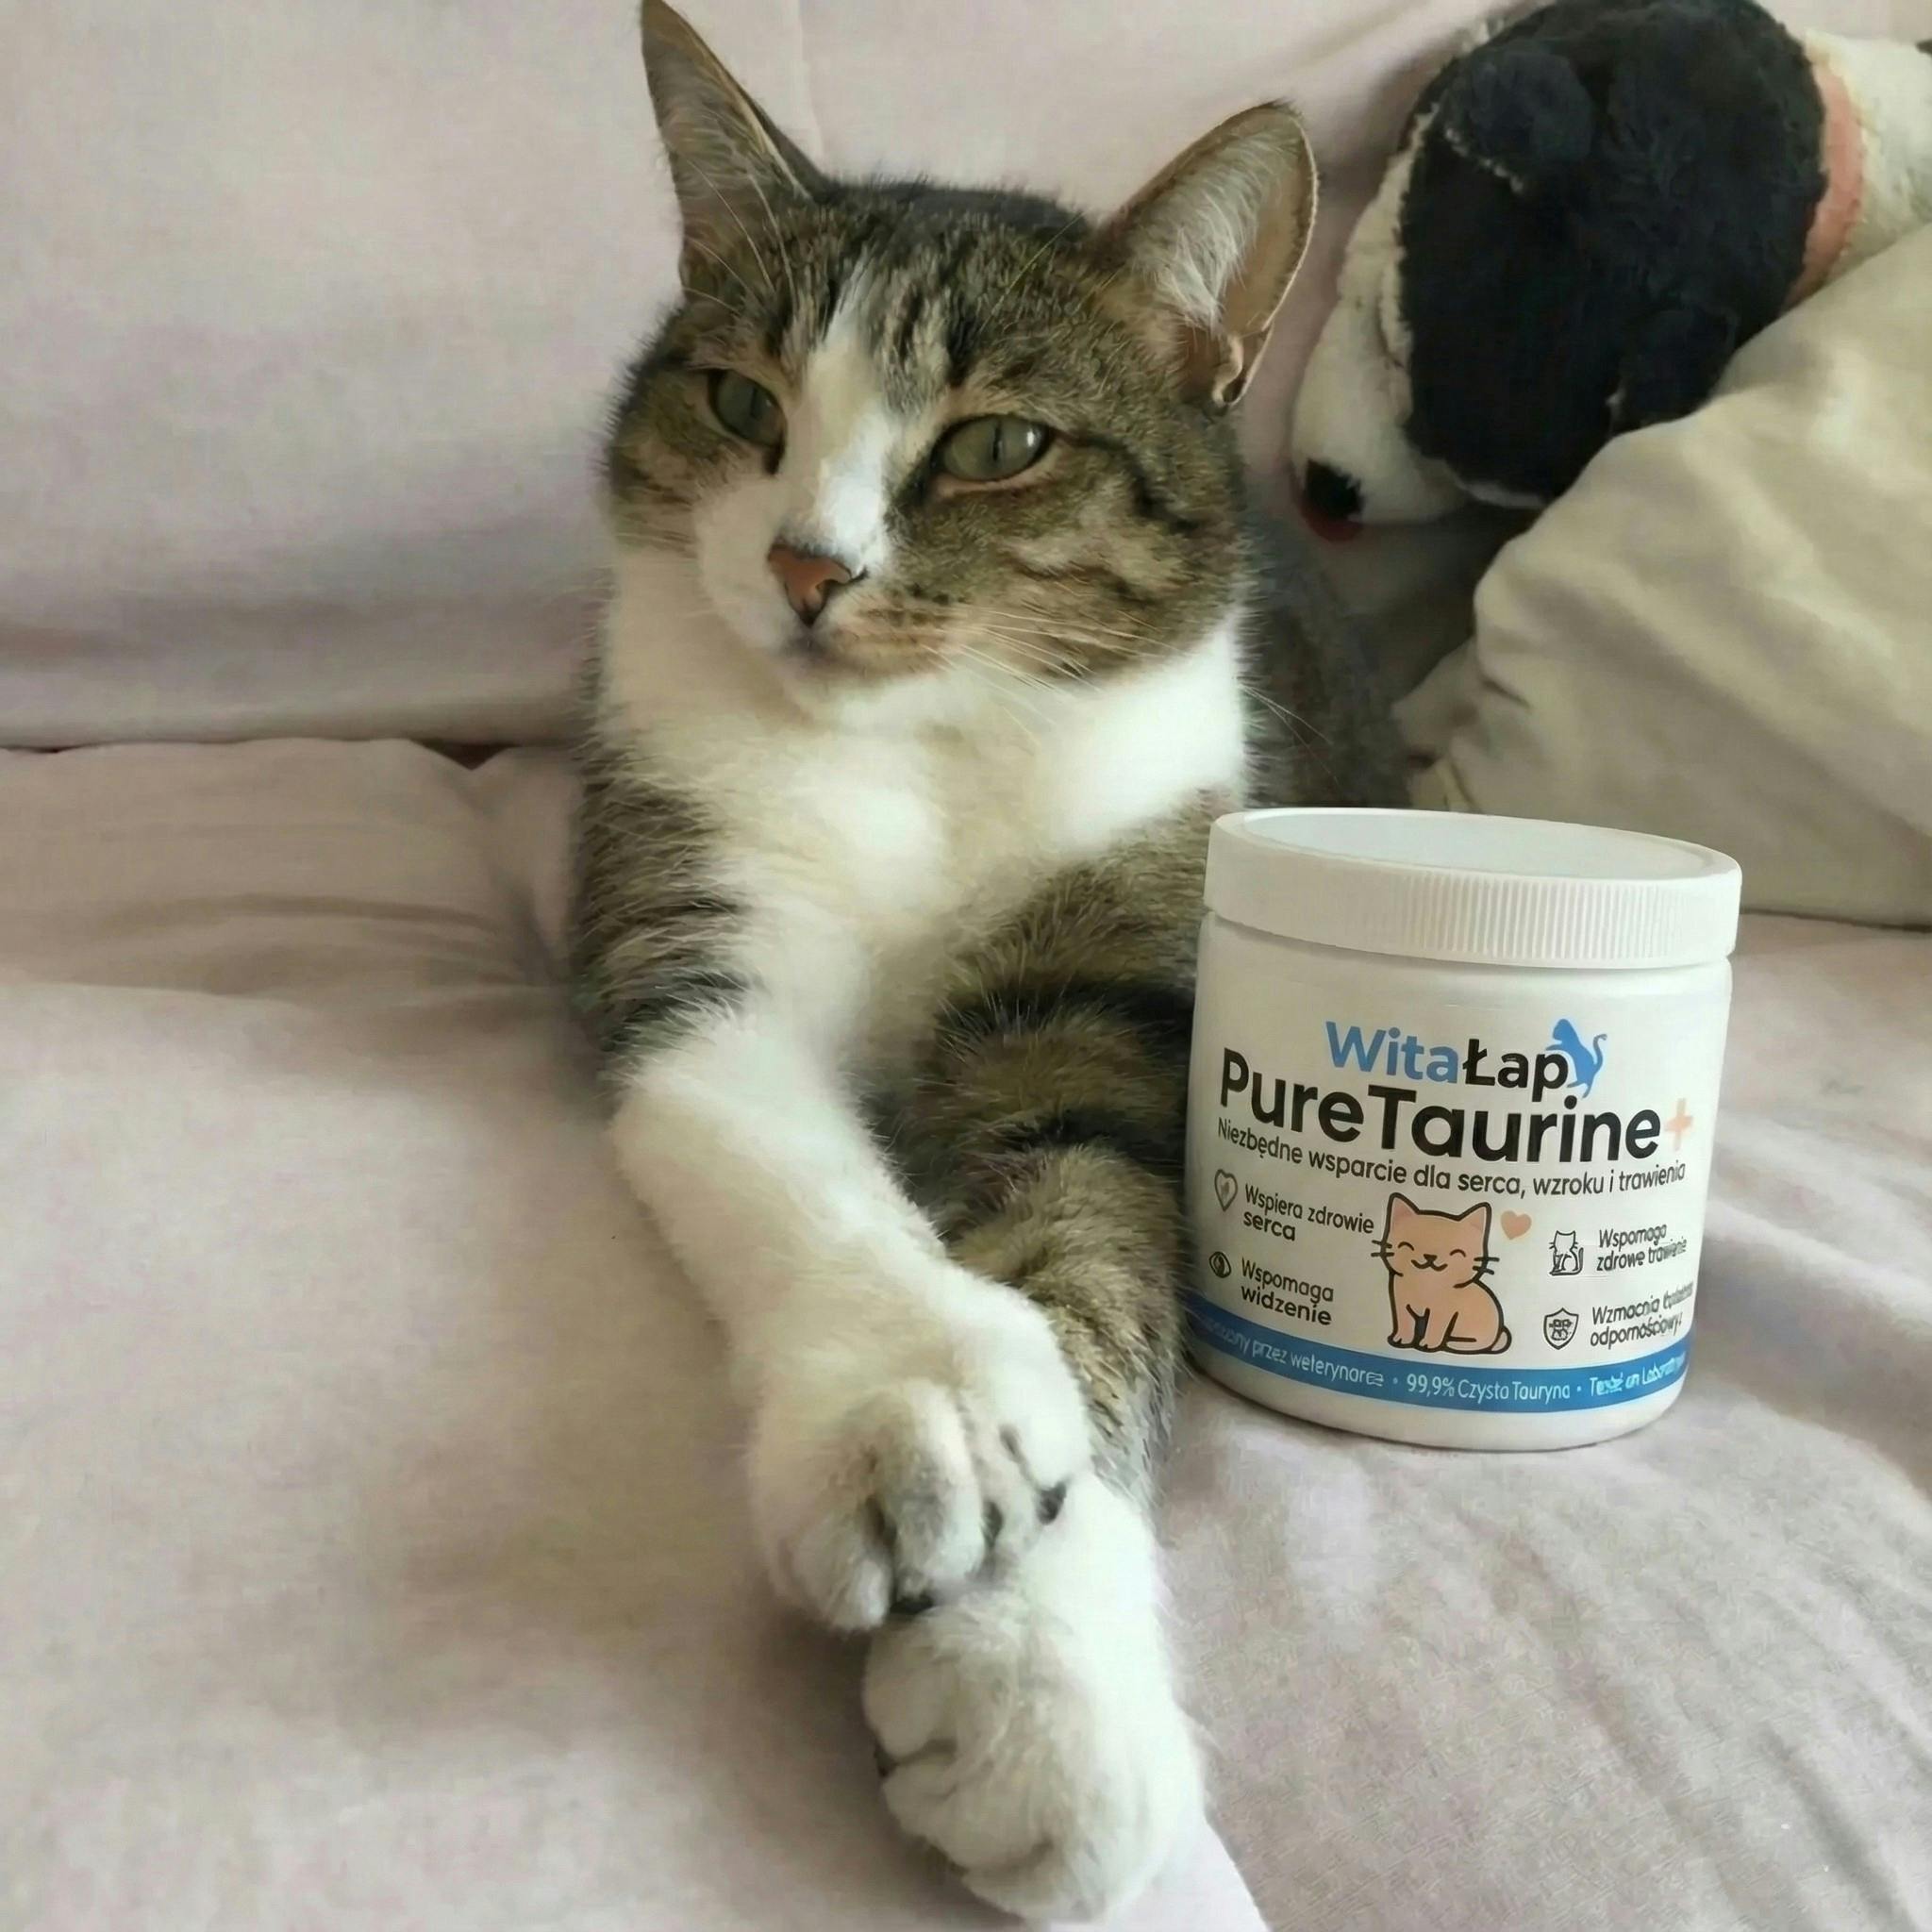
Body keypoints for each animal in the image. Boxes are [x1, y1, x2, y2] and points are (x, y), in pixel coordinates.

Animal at [569, 4, 1400, 1917]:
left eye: (998, 443)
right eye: (742, 402)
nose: (805, 565)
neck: (912, 748)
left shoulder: (1111, 985)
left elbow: (1085, 1226)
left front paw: (1034, 1693)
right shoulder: (686, 942)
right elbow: (787, 1159)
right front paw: (921, 1412)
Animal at [1376, 1195, 1511, 1354]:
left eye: (1456, 1252)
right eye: (1409, 1244)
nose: (1430, 1256)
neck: (1427, 1283)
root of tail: (1499, 1334)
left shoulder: (1441, 1312)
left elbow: (1435, 1327)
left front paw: (1428, 1344)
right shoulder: (1401, 1303)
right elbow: (1404, 1322)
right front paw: (1401, 1339)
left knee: (1478, 1344)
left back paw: (1452, 1343)